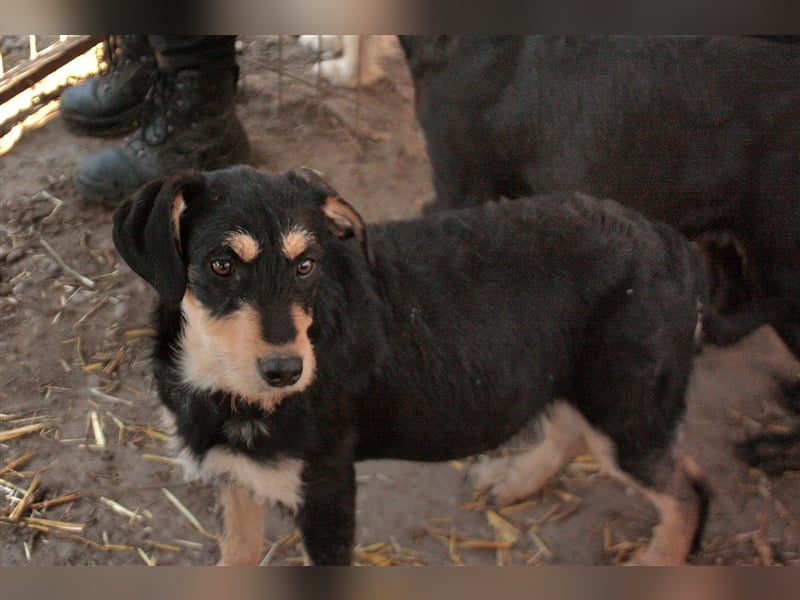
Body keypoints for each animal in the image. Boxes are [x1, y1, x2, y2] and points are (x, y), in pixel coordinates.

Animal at [112, 166, 708, 564]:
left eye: (307, 265)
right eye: (221, 265)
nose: (286, 372)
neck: (216, 378)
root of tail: (672, 243)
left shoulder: (327, 488)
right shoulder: (236, 475)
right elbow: (237, 552)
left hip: (623, 407)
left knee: (688, 493)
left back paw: (659, 560)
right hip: (568, 376)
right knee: (571, 432)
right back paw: (516, 478)